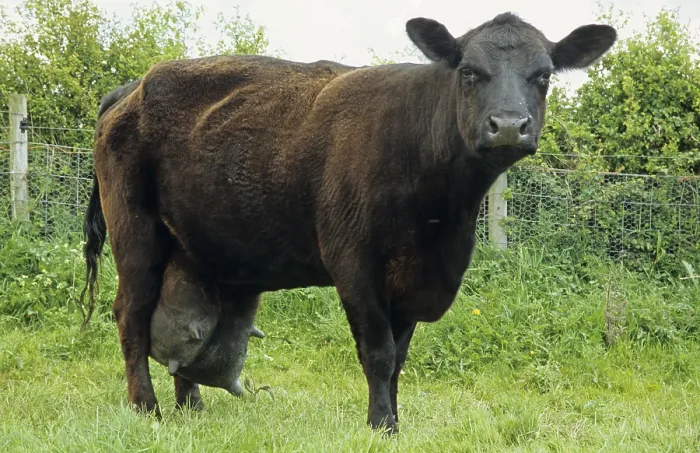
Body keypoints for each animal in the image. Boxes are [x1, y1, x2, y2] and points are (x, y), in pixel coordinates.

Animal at [81, 12, 616, 434]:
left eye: (543, 75)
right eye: (468, 72)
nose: (508, 125)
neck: (442, 221)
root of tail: (132, 87)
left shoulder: (414, 277)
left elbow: (398, 358)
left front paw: (394, 419)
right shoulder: (354, 262)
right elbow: (378, 353)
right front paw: (382, 427)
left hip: (190, 244)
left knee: (177, 326)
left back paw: (190, 404)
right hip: (135, 232)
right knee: (130, 315)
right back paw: (146, 408)